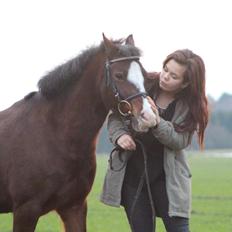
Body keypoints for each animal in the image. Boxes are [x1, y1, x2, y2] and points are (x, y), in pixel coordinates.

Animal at [0, 33, 158, 231]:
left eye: (145, 76)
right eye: (119, 75)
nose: (149, 117)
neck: (54, 136)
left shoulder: (73, 207)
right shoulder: (26, 210)